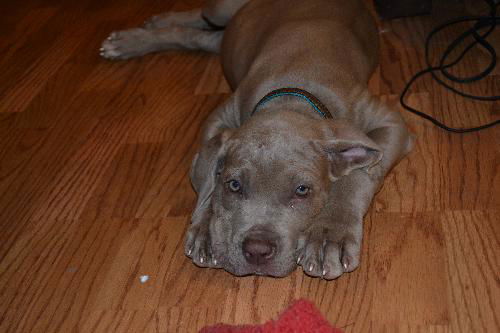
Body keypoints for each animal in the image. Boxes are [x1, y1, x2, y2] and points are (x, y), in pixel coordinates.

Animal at [101, 0, 414, 278]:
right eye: (234, 185)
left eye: (302, 191)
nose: (258, 251)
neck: (293, 92)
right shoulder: (221, 117)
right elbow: (209, 184)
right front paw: (207, 227)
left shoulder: (391, 123)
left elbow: (359, 175)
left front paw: (329, 234)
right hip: (220, 8)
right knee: (198, 21)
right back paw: (141, 33)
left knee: (205, 36)